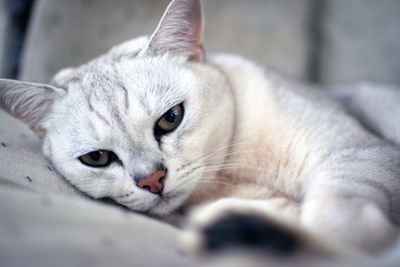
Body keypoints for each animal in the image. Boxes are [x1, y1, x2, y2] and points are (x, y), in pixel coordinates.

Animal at [0, 0, 400, 260]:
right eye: (97, 158)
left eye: (170, 119)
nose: (152, 181)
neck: (233, 170)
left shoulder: (359, 151)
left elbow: (335, 212)